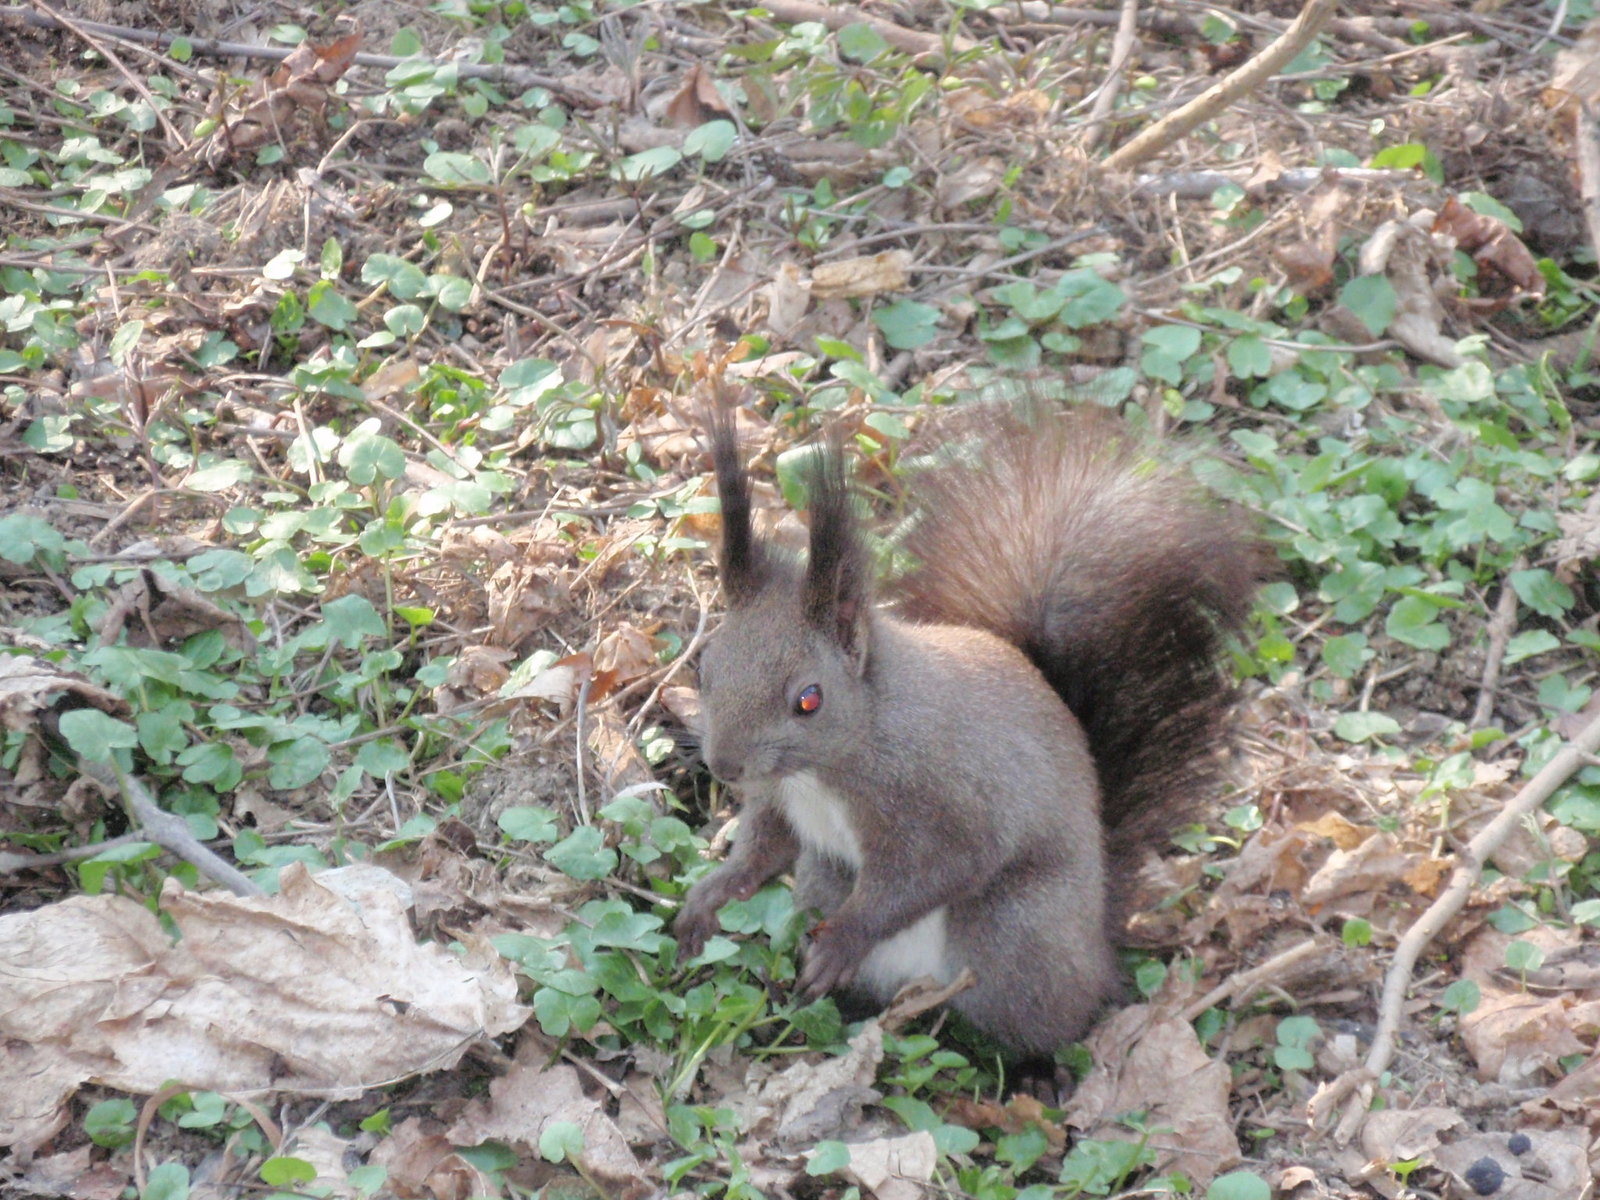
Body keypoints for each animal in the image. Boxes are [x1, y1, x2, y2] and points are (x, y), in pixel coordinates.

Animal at [672, 401, 1260, 1049]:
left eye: (809, 700)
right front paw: (711, 895)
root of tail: (1099, 942)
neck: (829, 768)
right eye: (705, 668)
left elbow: (942, 868)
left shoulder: (944, 802)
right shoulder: (781, 798)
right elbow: (764, 847)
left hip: (1013, 931)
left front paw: (846, 937)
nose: (724, 766)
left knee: (1049, 1022)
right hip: (827, 881)